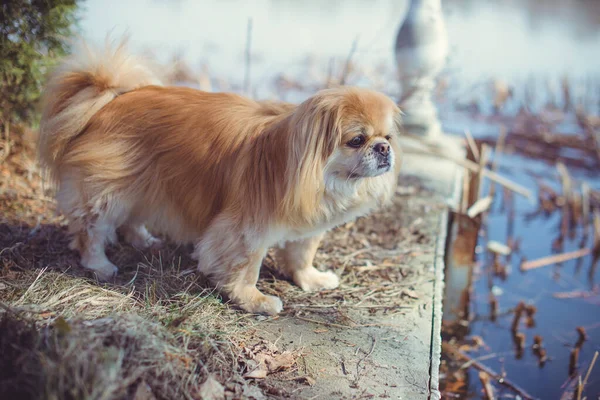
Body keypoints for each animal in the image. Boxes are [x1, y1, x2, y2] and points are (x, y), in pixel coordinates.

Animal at [38, 40, 404, 316]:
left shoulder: (306, 229)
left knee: (131, 219)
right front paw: (253, 300)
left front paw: (310, 280)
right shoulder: (246, 230)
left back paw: (144, 240)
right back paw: (99, 265)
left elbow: (301, 256)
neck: (321, 177)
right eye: (357, 139)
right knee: (91, 230)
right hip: (108, 191)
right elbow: (246, 268)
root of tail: (110, 100)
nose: (383, 148)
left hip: (146, 184)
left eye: (388, 137)